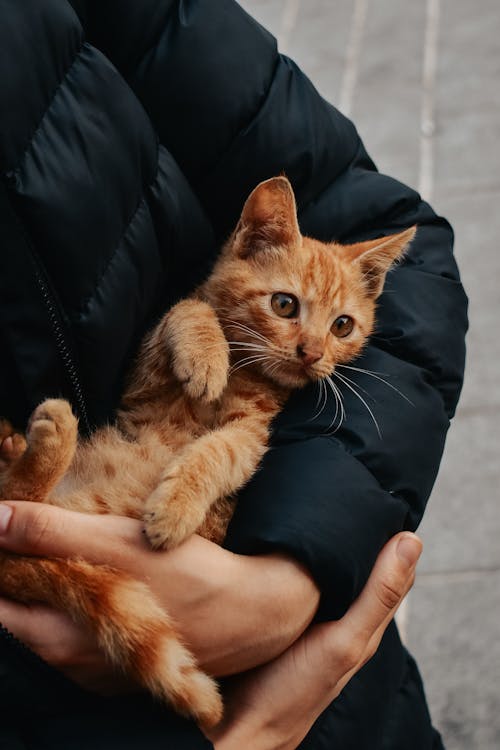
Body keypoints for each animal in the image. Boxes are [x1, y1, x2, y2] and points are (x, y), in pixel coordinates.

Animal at [0, 178, 414, 728]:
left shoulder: (250, 434)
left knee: (18, 498)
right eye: (285, 305)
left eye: (342, 326)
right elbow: (187, 310)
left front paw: (175, 508)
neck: (246, 371)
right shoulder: (145, 385)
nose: (312, 354)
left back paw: (42, 437)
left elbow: (218, 452)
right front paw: (204, 355)